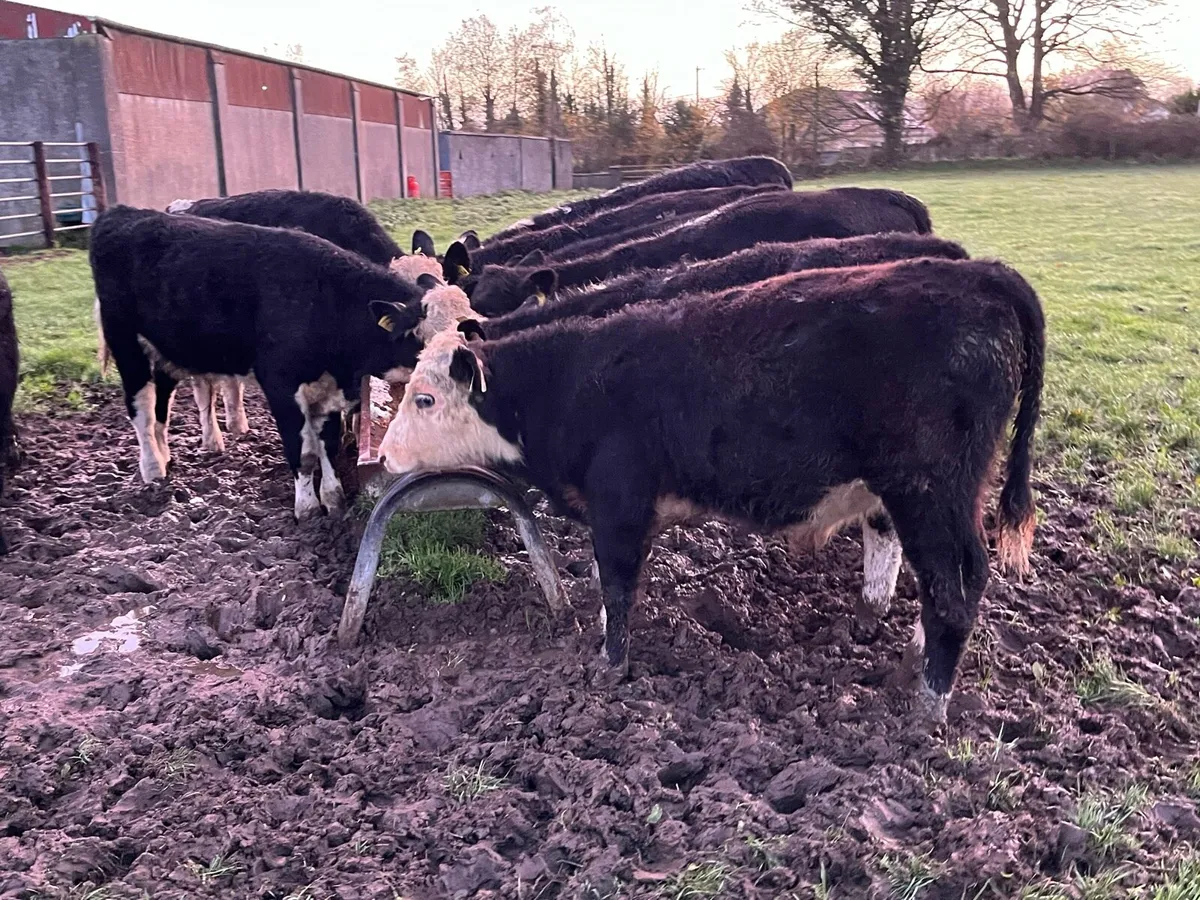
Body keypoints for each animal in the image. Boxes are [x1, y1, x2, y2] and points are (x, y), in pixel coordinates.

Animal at [90, 206, 436, 520]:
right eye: (426, 343)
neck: (325, 300)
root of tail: (122, 213)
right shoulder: (280, 385)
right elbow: (304, 452)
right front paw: (307, 510)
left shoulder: (328, 389)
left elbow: (328, 445)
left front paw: (334, 501)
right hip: (126, 345)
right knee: (141, 409)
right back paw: (152, 470)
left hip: (167, 350)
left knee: (161, 403)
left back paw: (164, 458)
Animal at [376, 257, 1045, 723]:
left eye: (425, 398)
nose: (382, 456)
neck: (570, 381)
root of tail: (985, 276)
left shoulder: (619, 504)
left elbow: (616, 587)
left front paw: (610, 667)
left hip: (931, 491)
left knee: (954, 589)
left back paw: (926, 708)